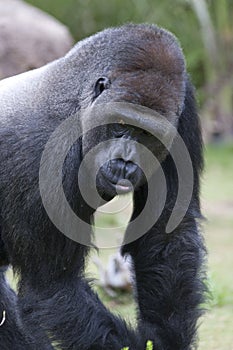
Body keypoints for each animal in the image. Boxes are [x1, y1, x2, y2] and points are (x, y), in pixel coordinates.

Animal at [0, 24, 208, 350]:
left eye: (147, 135)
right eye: (120, 124)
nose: (125, 161)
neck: (76, 103)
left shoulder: (182, 106)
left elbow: (168, 234)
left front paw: (164, 339)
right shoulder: (37, 160)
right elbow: (53, 290)